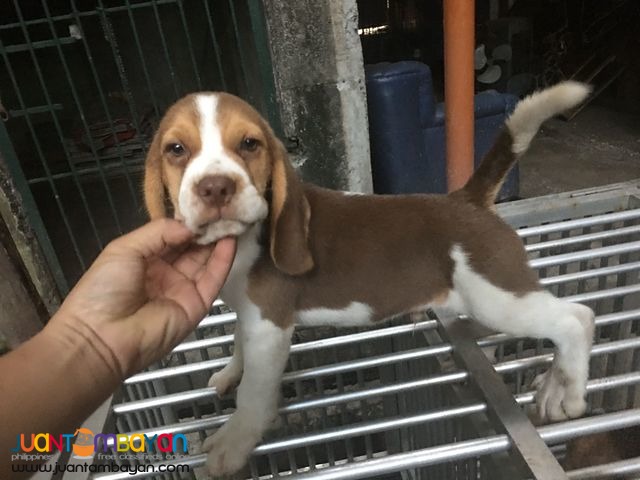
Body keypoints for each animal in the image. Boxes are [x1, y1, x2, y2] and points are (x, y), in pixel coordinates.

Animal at [144, 82, 596, 476]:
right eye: (176, 150)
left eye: (249, 144)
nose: (215, 187)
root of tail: (467, 201)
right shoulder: (249, 316)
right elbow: (238, 344)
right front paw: (229, 372)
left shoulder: (269, 326)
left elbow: (253, 394)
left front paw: (234, 441)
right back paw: (552, 384)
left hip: (497, 296)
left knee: (577, 318)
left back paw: (569, 392)